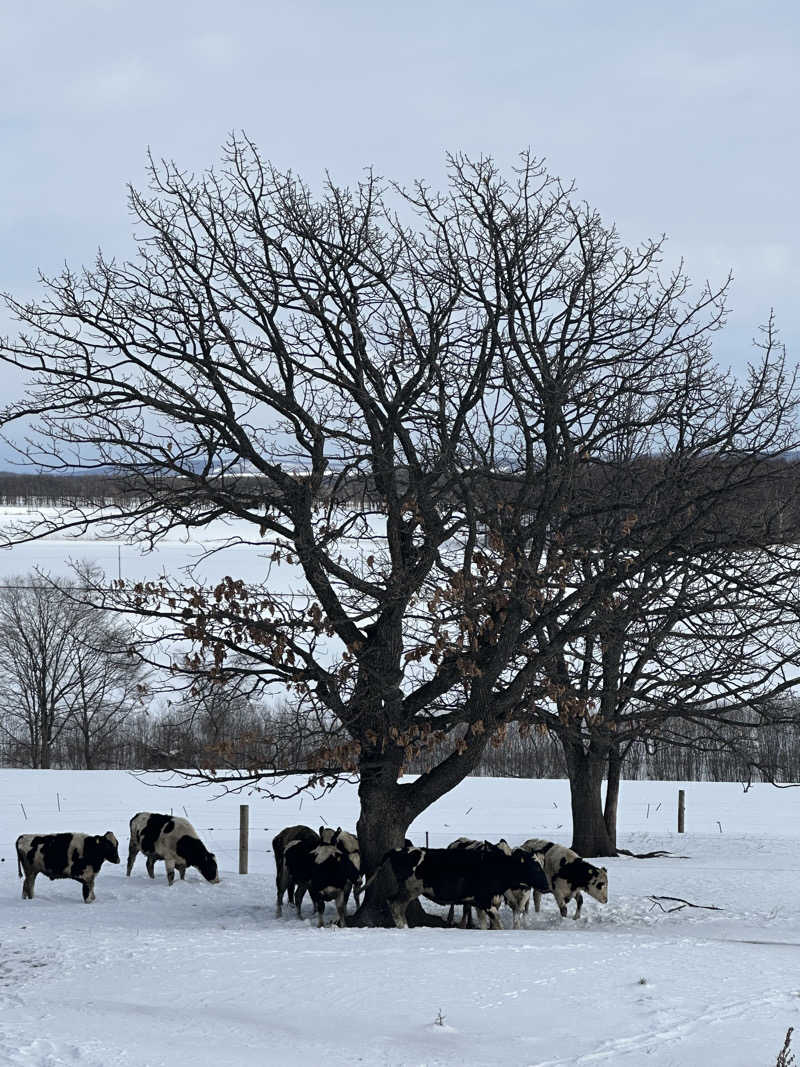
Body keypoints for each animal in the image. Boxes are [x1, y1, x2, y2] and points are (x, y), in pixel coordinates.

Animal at [375, 845, 550, 930]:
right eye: (534, 867)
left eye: (542, 866)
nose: (546, 885)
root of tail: (399, 850)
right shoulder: (484, 900)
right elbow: (498, 924)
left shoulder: (479, 903)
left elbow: (485, 925)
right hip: (410, 889)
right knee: (395, 904)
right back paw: (404, 927)